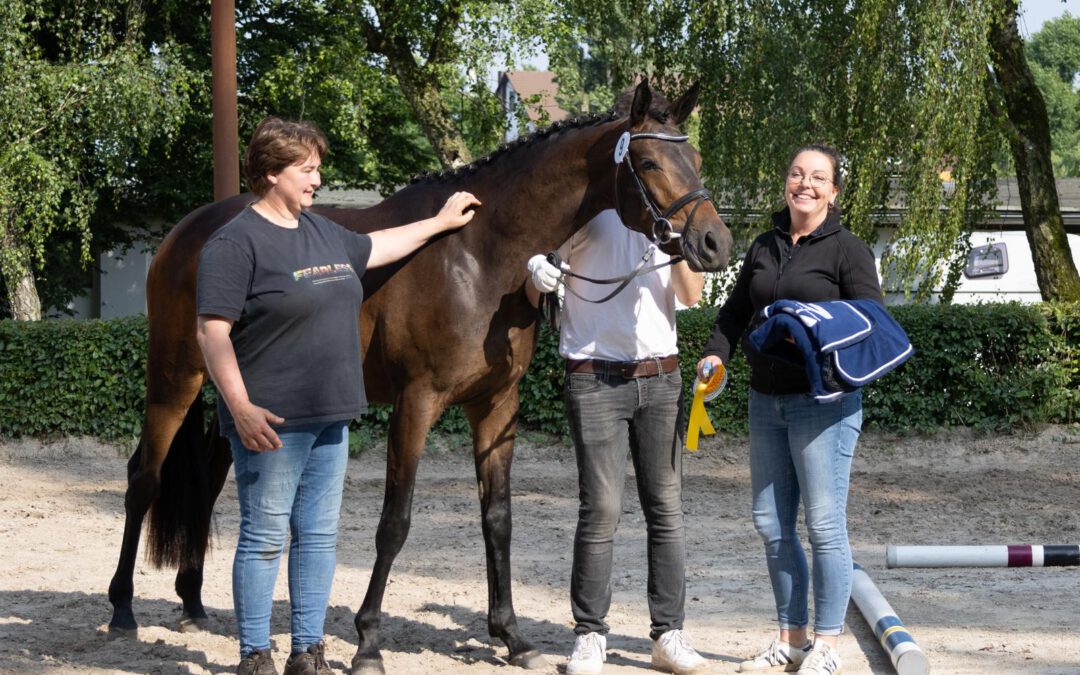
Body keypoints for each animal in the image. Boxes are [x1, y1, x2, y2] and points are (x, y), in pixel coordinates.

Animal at [107, 78, 734, 669]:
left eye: (697, 159)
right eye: (648, 163)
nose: (714, 242)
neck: (479, 255)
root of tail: (186, 233)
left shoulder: (496, 407)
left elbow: (498, 518)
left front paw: (511, 636)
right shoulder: (417, 403)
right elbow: (395, 521)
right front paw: (368, 642)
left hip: (235, 397)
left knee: (209, 483)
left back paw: (192, 603)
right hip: (175, 378)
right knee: (144, 477)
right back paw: (122, 610)